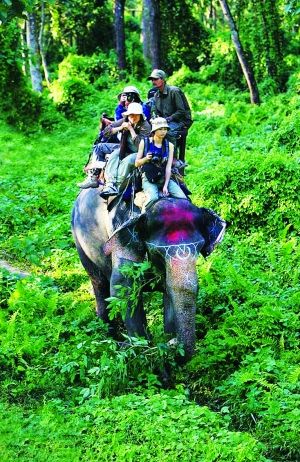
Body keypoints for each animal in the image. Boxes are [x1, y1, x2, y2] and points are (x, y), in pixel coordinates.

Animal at [71, 189, 225, 360]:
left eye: (199, 248)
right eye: (157, 252)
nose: (174, 344)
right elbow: (122, 287)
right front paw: (144, 351)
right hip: (79, 244)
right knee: (99, 283)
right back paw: (112, 339)